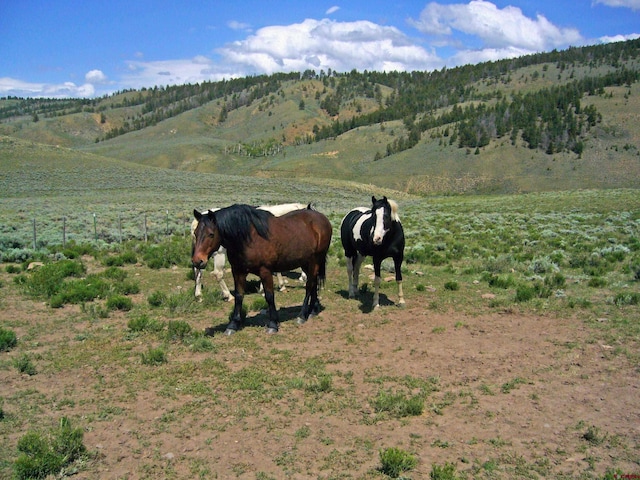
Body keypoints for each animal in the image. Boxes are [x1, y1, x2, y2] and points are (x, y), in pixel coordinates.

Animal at [191, 204, 332, 336]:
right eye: (196, 233)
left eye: (211, 234)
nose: (198, 261)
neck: (248, 238)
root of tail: (322, 218)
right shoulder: (238, 272)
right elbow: (239, 296)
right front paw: (233, 325)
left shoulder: (265, 272)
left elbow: (269, 296)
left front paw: (273, 324)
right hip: (305, 262)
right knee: (313, 283)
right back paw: (313, 310)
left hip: (314, 261)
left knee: (309, 285)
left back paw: (302, 315)